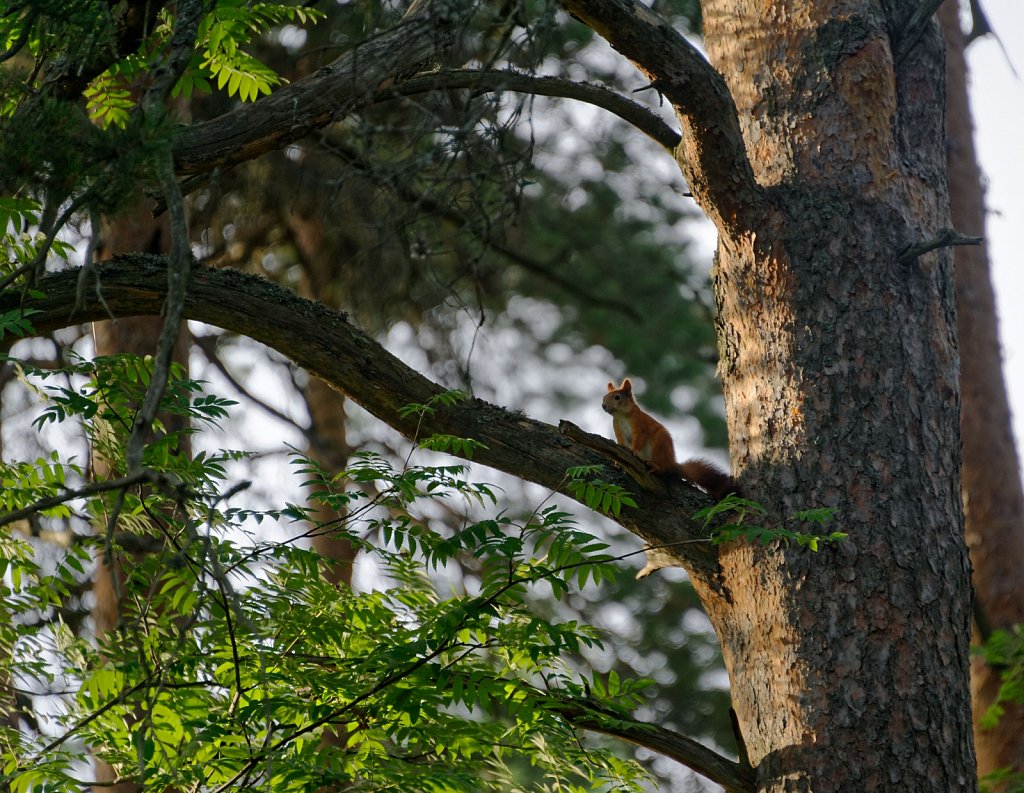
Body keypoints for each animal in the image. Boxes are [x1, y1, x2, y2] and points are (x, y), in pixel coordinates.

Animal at [598, 381, 737, 504]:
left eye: (617, 397)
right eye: (604, 396)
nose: (603, 405)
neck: (621, 416)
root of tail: (671, 463)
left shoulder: (640, 425)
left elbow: (639, 439)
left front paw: (633, 450)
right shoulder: (618, 430)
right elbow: (621, 443)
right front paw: (618, 461)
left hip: (660, 444)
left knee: (663, 469)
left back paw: (655, 466)